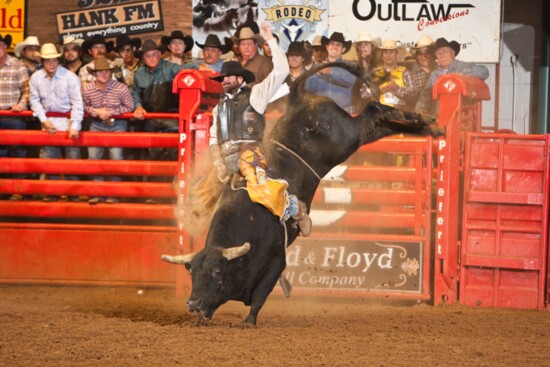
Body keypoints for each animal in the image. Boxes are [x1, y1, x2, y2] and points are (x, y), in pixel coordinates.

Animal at [161, 63, 444, 328]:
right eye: (192, 272)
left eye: (217, 272)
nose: (193, 303)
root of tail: (298, 99)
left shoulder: (277, 263)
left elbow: (260, 295)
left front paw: (248, 321)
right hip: (353, 138)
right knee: (378, 125)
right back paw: (430, 128)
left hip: (346, 136)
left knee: (373, 111)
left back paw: (425, 120)